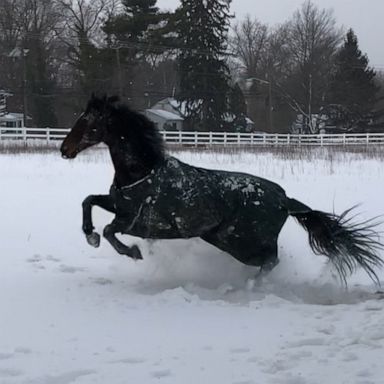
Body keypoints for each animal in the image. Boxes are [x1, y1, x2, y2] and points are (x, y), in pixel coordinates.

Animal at [60, 94, 384, 284]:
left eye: (88, 122)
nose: (65, 149)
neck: (143, 172)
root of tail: (285, 200)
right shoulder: (118, 205)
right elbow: (89, 201)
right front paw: (90, 236)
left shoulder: (142, 223)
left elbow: (111, 231)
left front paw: (133, 252)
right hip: (225, 240)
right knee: (269, 260)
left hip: (238, 241)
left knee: (271, 260)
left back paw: (247, 287)